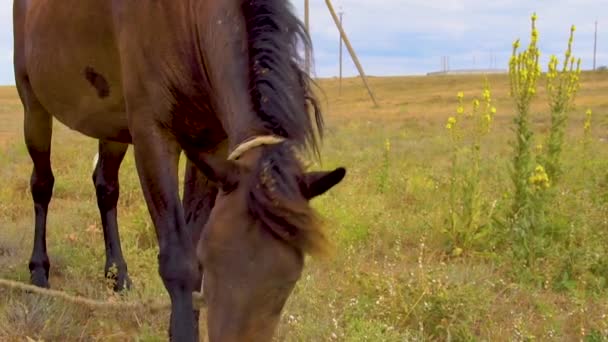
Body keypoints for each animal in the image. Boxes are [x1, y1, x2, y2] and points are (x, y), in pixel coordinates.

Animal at [14, 1, 344, 340]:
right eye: (215, 261)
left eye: (288, 280)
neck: (185, 19)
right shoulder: (152, 136)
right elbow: (179, 258)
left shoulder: (212, 145)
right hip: (34, 105)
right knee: (42, 183)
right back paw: (39, 274)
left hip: (110, 123)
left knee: (105, 186)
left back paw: (118, 276)